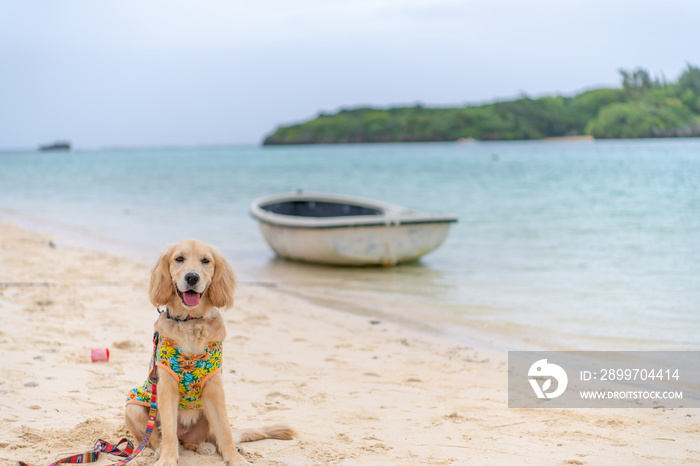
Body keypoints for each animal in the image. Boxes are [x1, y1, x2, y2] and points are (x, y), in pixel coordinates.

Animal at [126, 240, 296, 466]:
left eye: (205, 261)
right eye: (179, 259)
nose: (192, 277)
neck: (191, 321)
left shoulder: (214, 387)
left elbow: (225, 430)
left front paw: (234, 458)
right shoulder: (166, 387)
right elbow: (169, 430)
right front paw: (167, 458)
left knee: (203, 438)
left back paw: (208, 446)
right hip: (133, 405)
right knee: (153, 439)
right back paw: (158, 450)